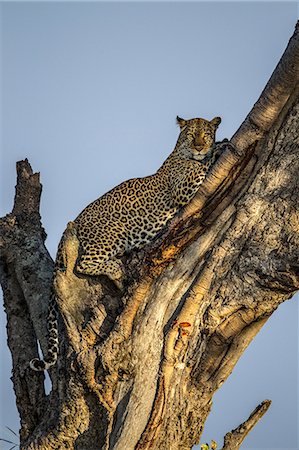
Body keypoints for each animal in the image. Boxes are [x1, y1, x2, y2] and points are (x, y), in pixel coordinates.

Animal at [29, 114, 223, 370]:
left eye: (206, 134)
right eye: (191, 135)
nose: (199, 147)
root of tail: (74, 223)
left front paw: (216, 146)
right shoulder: (182, 190)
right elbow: (201, 168)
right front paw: (217, 149)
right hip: (111, 235)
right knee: (83, 263)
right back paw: (117, 270)